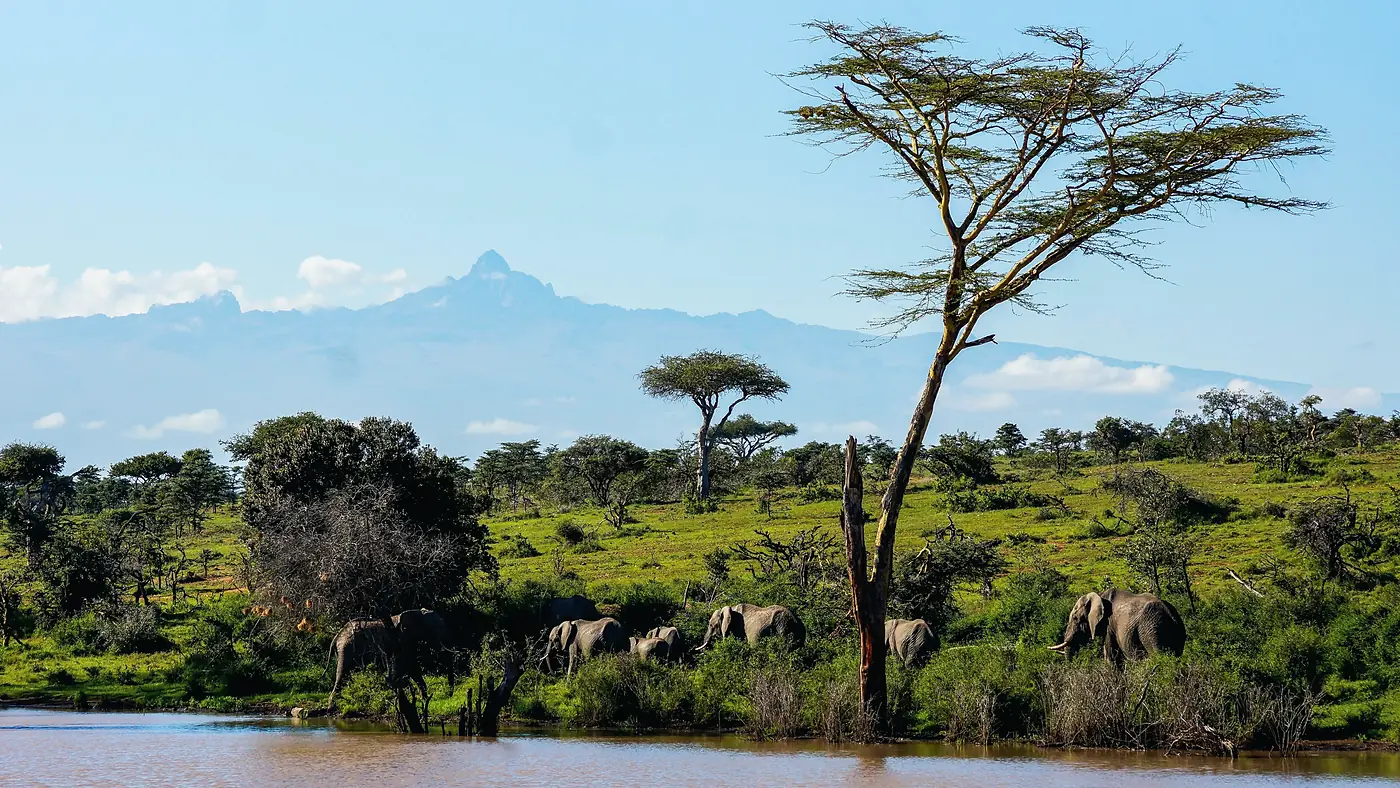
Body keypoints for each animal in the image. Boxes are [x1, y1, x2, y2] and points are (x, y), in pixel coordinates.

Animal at [1048, 589, 1185, 665]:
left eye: (1075, 618)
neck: (1100, 596)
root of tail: (1171, 614)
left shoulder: (1109, 625)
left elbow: (1111, 659)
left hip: (1152, 629)